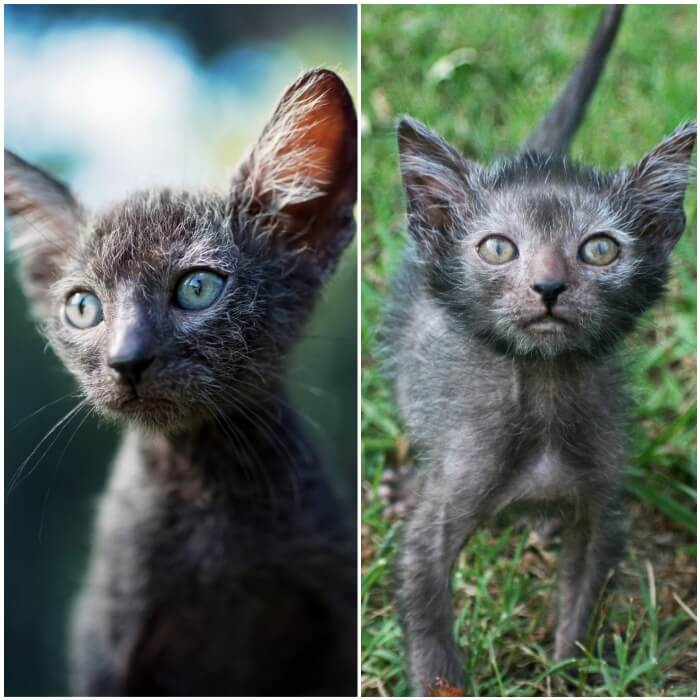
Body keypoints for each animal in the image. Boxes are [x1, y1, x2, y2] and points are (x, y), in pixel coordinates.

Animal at [386, 6, 696, 696]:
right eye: (499, 248)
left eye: (600, 249)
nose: (549, 287)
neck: (546, 394)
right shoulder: (440, 515)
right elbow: (427, 615)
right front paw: (444, 680)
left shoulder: (602, 512)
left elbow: (583, 606)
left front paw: (566, 673)